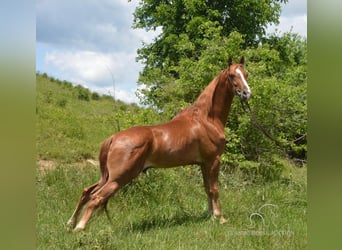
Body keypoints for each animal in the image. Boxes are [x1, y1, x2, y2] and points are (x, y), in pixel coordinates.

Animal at [67, 56, 251, 232]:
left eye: (246, 74)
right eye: (232, 75)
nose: (246, 93)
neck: (206, 119)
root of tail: (113, 138)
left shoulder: (203, 163)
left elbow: (207, 189)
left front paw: (210, 215)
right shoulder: (213, 160)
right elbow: (215, 189)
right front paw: (220, 218)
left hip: (107, 177)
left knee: (87, 191)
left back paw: (71, 223)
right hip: (119, 178)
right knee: (96, 197)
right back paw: (79, 227)